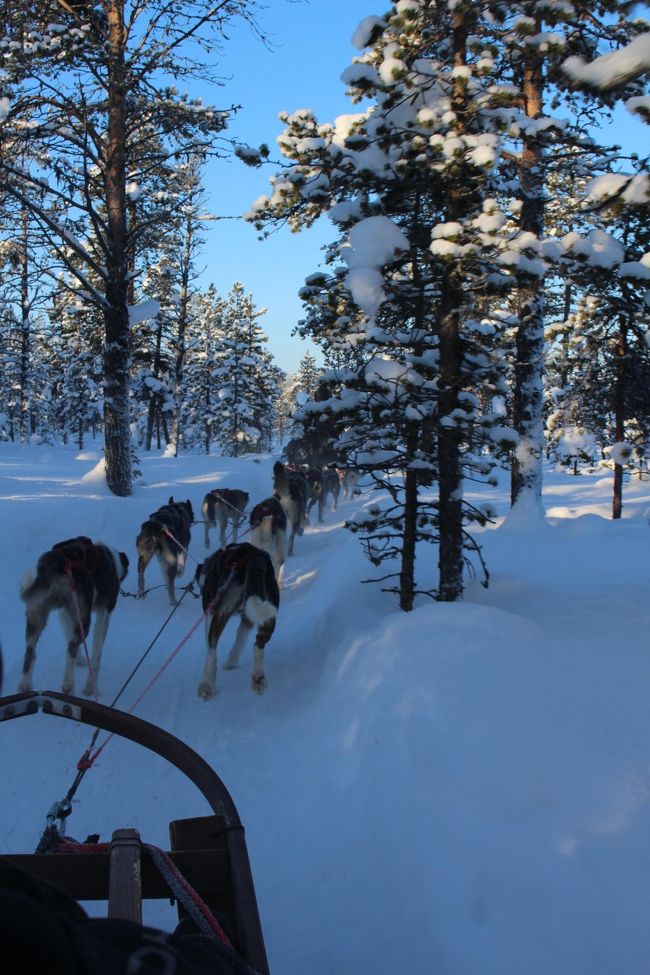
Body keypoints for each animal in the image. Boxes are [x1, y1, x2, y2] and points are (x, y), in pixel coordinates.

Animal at [18, 536, 128, 696]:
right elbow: (97, 653)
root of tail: (60, 559)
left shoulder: (64, 615)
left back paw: (24, 686)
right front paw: (90, 686)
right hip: (83, 617)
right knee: (71, 646)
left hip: (36, 616)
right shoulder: (104, 613)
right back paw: (68, 685)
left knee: (31, 650)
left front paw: (80, 660)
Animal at [194, 540, 278, 700]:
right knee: (258, 643)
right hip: (269, 612)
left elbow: (209, 648)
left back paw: (206, 685)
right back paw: (258, 677)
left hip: (222, 612)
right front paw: (232, 661)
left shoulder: (210, 614)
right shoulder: (247, 619)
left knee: (212, 650)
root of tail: (251, 557)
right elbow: (240, 638)